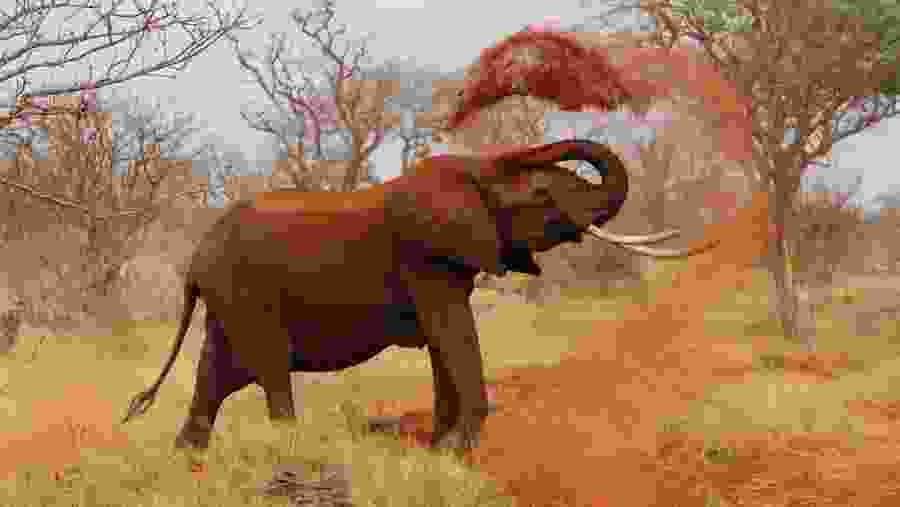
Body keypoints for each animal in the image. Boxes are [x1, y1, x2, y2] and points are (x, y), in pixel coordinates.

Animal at [122, 139, 718, 456]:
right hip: (247, 295)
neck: (474, 172)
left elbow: (443, 342)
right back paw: (291, 447)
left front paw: (438, 449)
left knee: (216, 373)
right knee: (267, 370)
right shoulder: (426, 257)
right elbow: (453, 333)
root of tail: (195, 260)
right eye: (544, 196)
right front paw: (456, 451)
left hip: (229, 299)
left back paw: (189, 462)